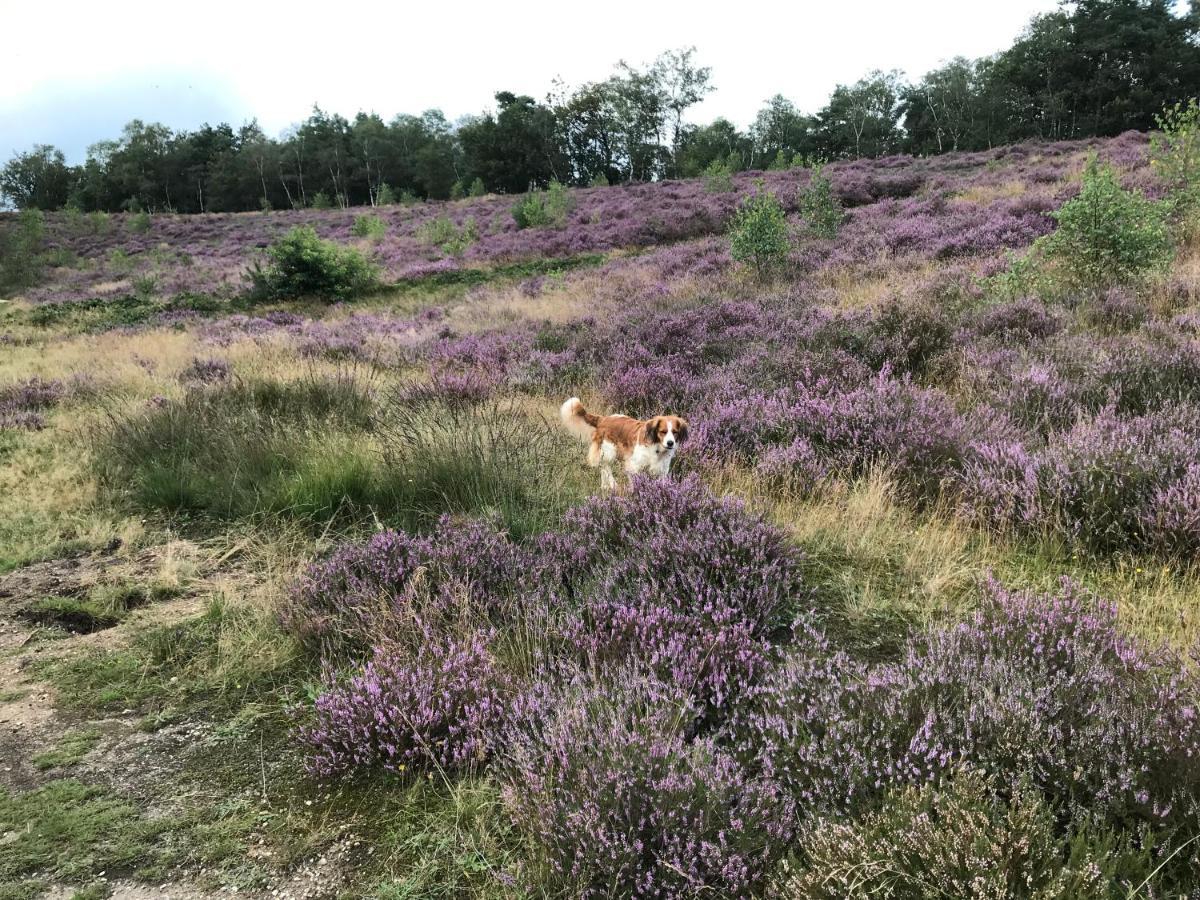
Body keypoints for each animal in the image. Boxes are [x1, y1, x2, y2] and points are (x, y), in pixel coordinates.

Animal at [559, 398, 691, 489]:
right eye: (663, 432)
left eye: (675, 432)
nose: (670, 443)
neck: (657, 447)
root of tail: (603, 419)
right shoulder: (634, 465)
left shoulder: (662, 469)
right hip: (609, 451)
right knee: (605, 466)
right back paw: (613, 484)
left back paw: (605, 486)